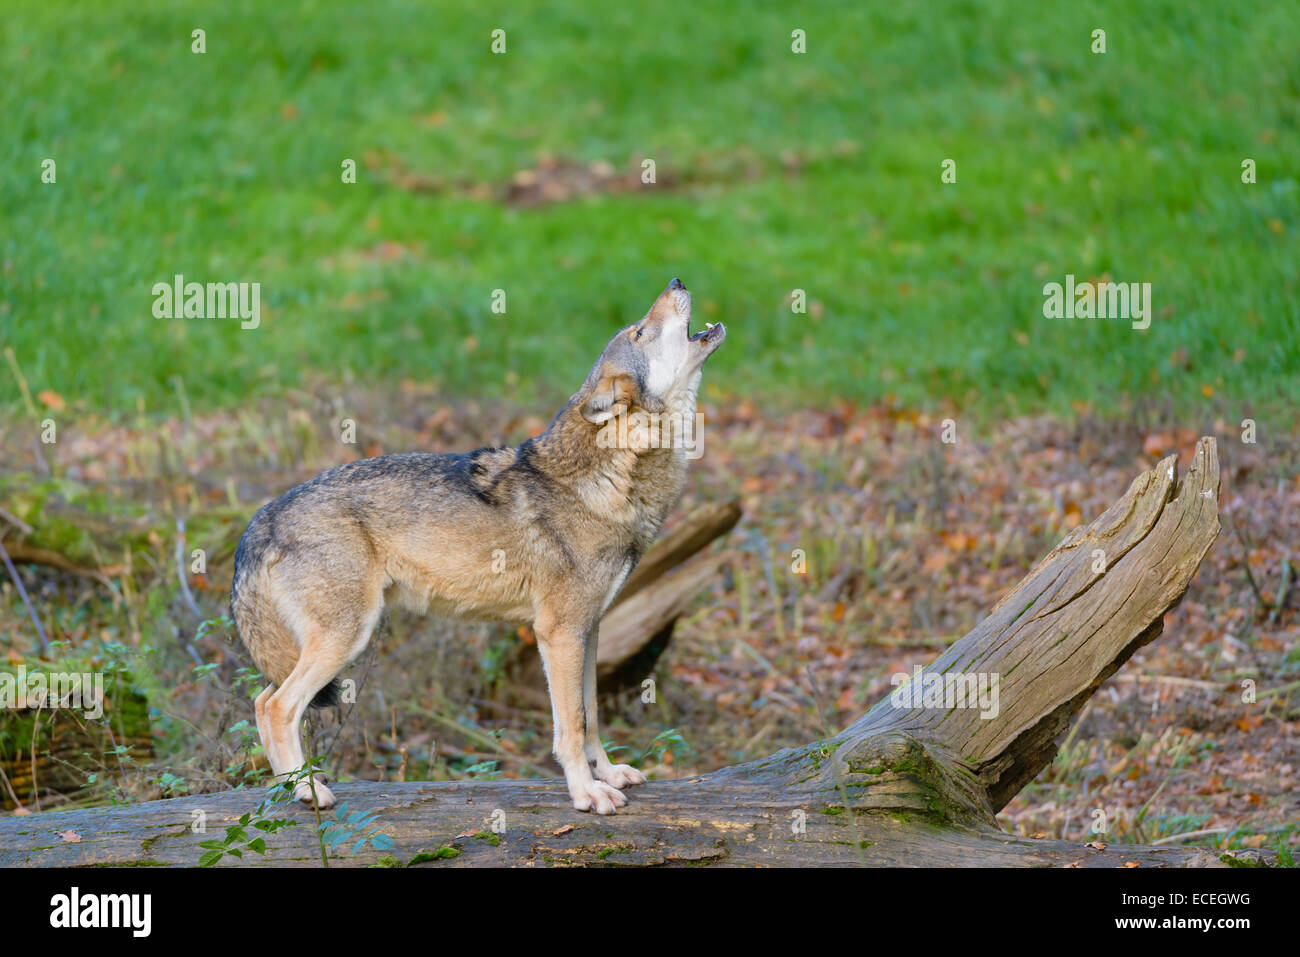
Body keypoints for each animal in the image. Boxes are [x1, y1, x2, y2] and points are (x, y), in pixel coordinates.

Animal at [231, 279, 724, 814]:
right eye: (640, 330)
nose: (677, 282)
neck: (612, 476)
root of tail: (263, 516)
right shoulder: (558, 632)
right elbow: (570, 726)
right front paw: (586, 793)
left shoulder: (590, 629)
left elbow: (591, 715)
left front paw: (608, 774)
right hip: (346, 637)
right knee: (276, 706)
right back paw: (307, 791)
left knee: (261, 700)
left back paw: (288, 792)